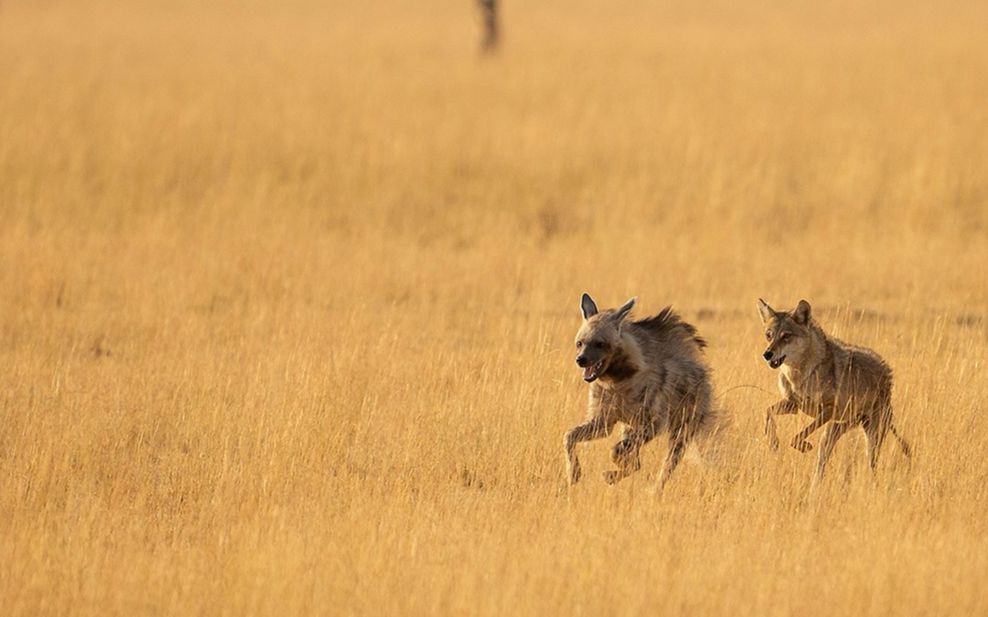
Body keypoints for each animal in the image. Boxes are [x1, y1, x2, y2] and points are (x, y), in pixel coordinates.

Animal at [564, 292, 716, 488]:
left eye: (600, 343)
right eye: (579, 343)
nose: (580, 360)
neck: (615, 382)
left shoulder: (654, 423)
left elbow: (617, 450)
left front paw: (615, 465)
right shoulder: (603, 422)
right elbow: (569, 435)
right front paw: (574, 474)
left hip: (682, 426)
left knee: (669, 462)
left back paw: (653, 489)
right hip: (631, 426)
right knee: (638, 462)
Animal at [760, 298, 916, 482]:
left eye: (786, 336)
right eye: (769, 335)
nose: (767, 354)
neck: (801, 374)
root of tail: (886, 371)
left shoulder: (828, 409)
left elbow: (796, 438)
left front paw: (804, 446)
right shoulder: (794, 405)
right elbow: (768, 412)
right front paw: (773, 443)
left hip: (869, 437)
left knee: (872, 464)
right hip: (835, 431)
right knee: (823, 461)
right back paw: (816, 485)